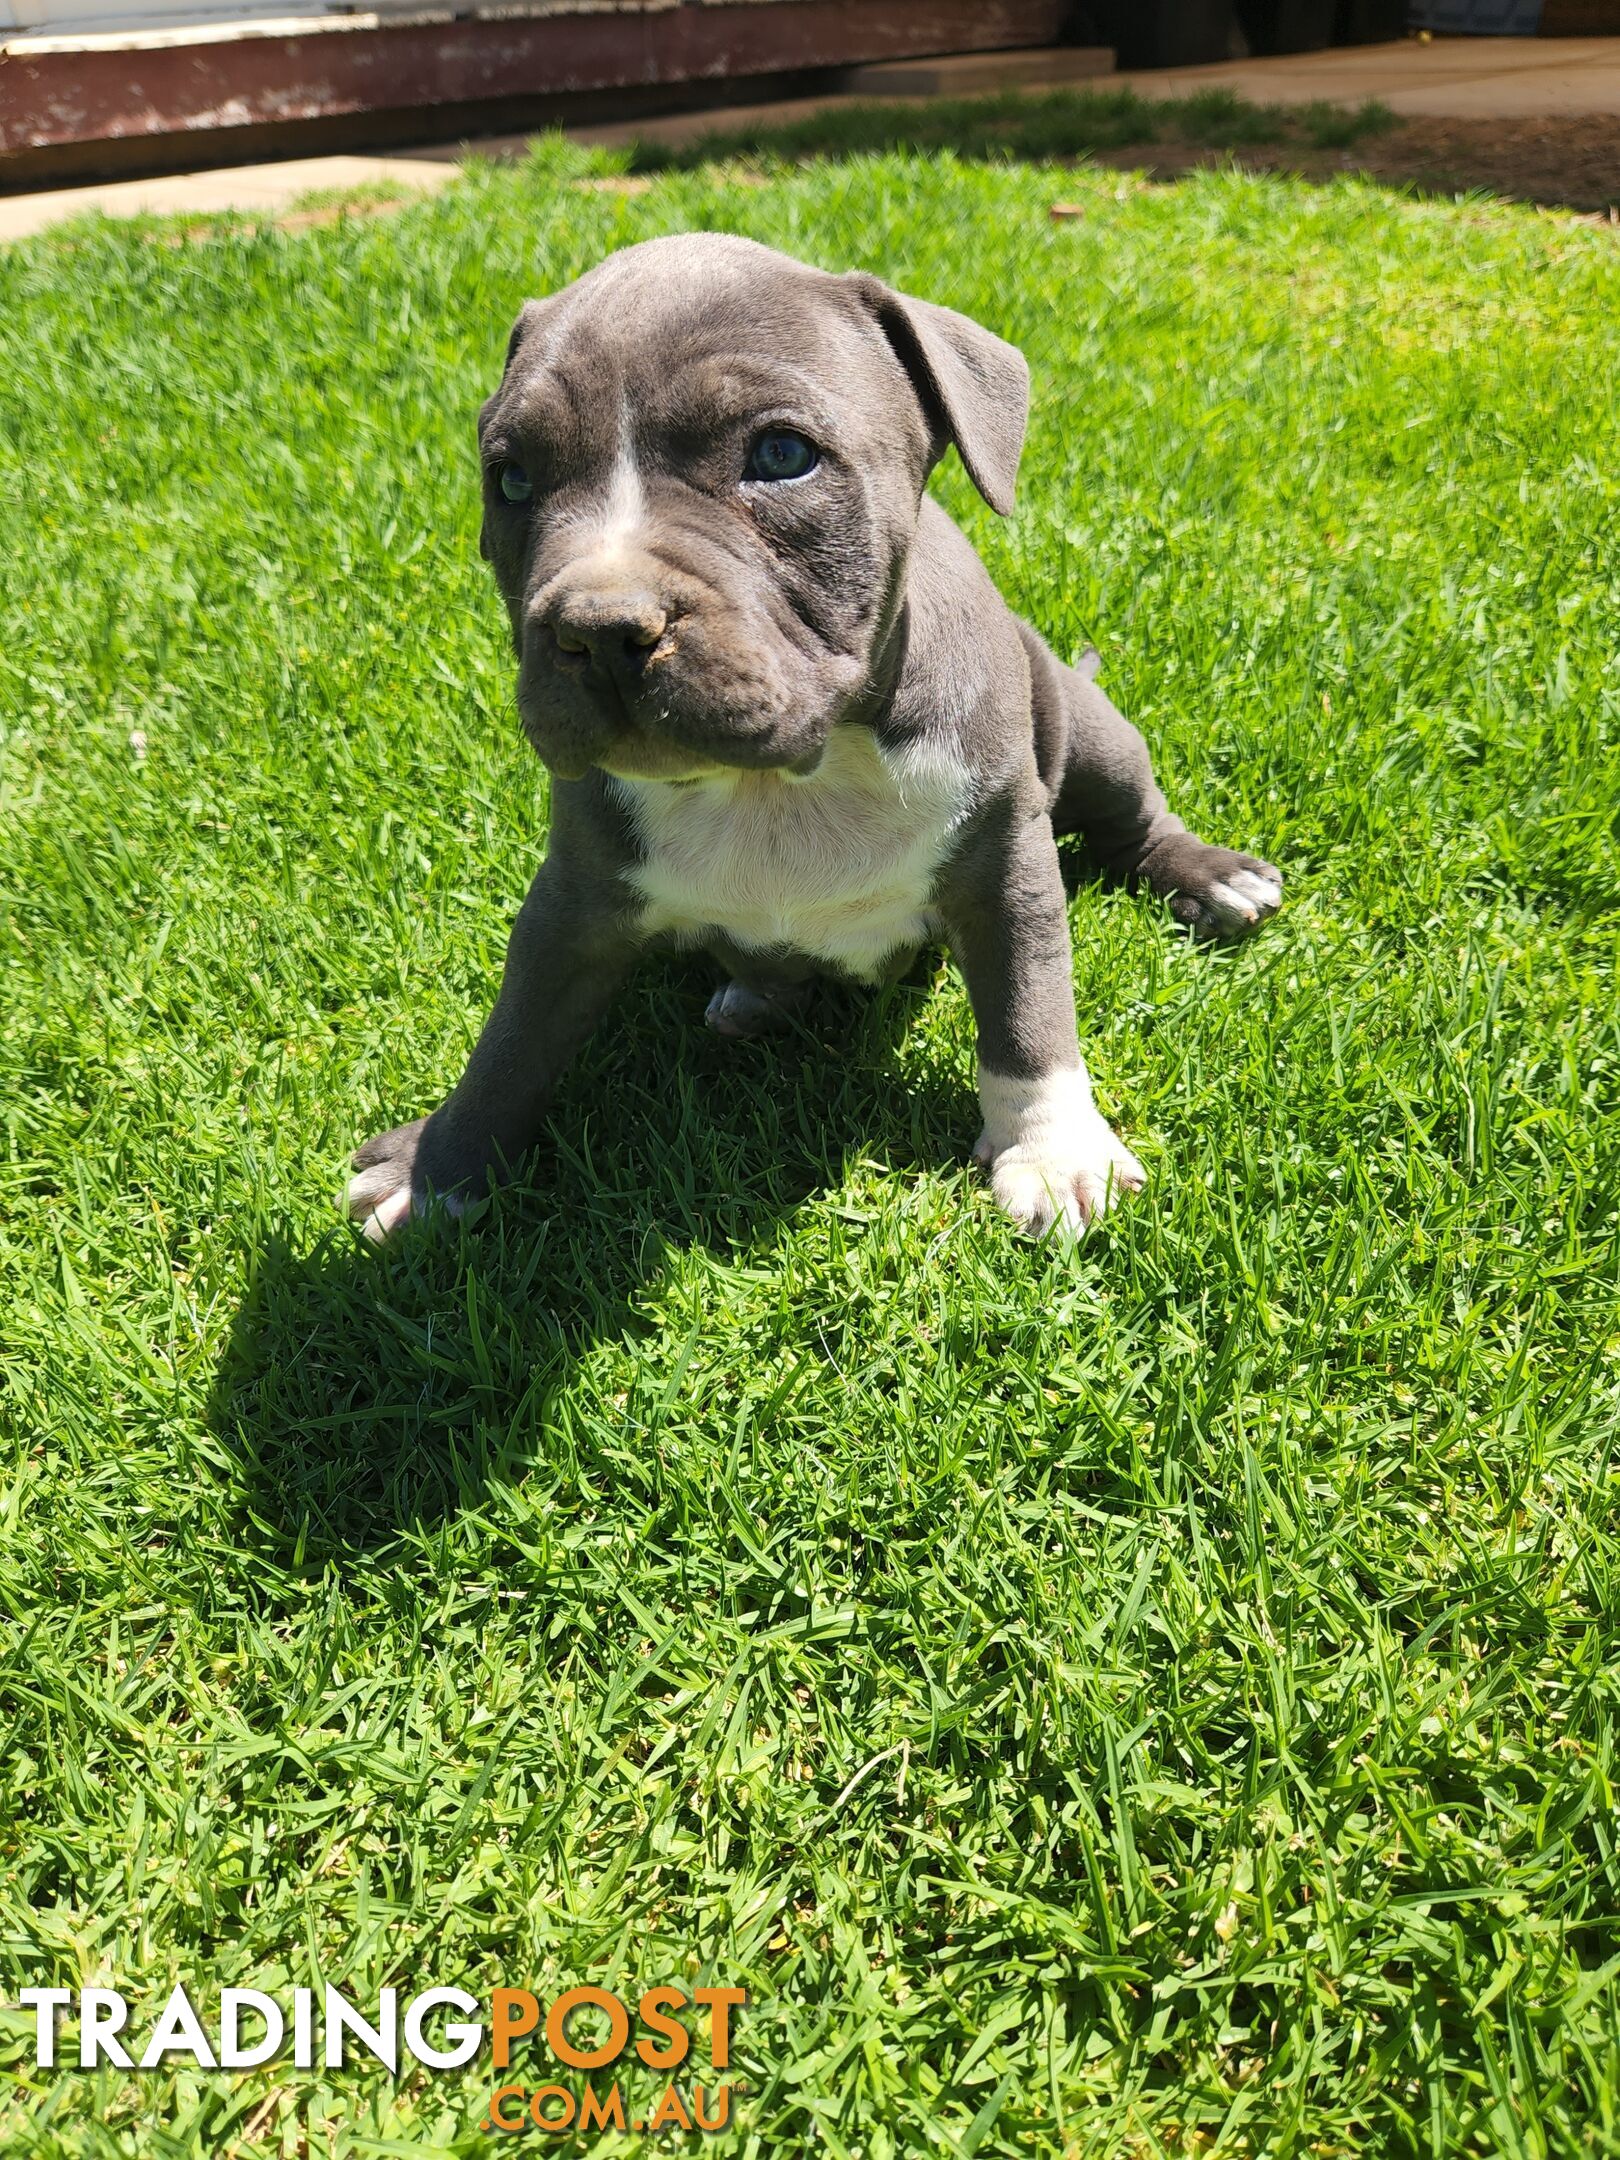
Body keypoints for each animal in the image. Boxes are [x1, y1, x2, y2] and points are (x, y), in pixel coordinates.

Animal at [349, 227, 1287, 1244]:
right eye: (512, 479)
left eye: (782, 454)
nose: (598, 627)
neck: (784, 779)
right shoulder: (574, 902)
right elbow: (514, 1037)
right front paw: (436, 1166)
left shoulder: (1006, 861)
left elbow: (1029, 1008)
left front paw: (1054, 1151)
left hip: (1084, 727)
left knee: (1133, 815)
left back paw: (1211, 876)